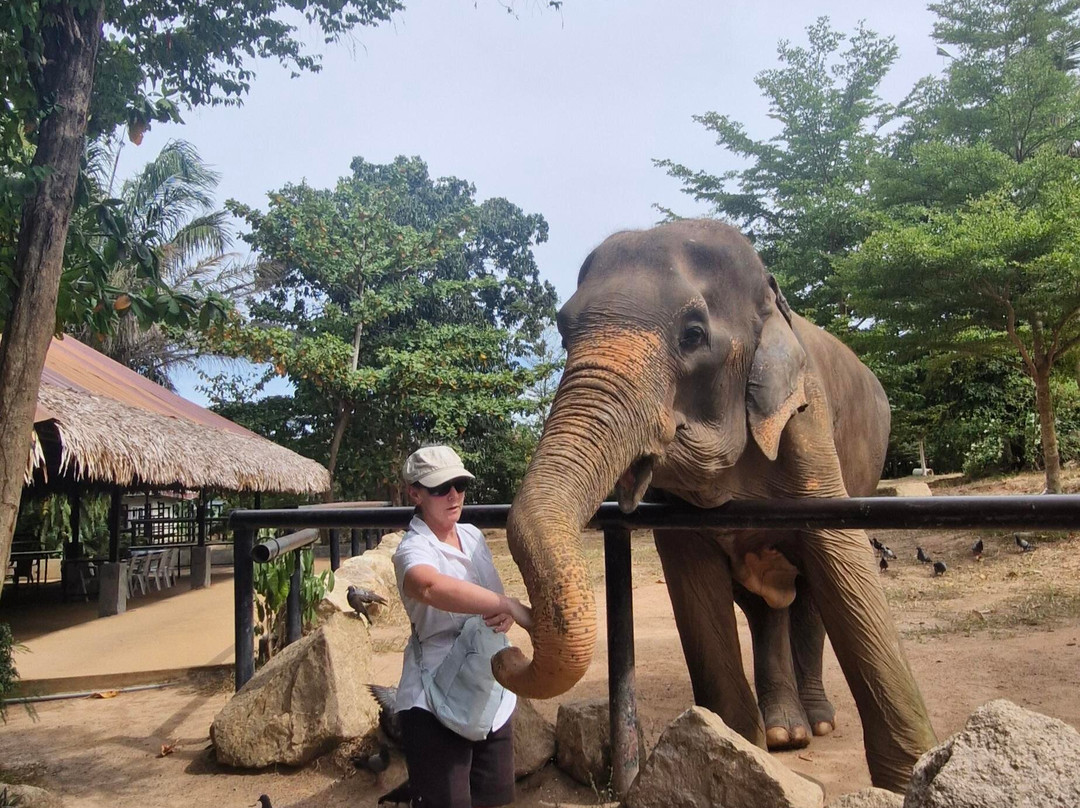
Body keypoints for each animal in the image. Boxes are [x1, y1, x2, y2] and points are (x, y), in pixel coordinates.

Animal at [493, 219, 937, 792]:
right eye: (564, 332)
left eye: (693, 336)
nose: (507, 649)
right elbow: (694, 585)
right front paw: (731, 751)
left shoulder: (805, 416)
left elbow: (842, 561)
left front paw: (914, 776)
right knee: (768, 608)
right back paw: (783, 733)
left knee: (807, 602)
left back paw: (814, 724)